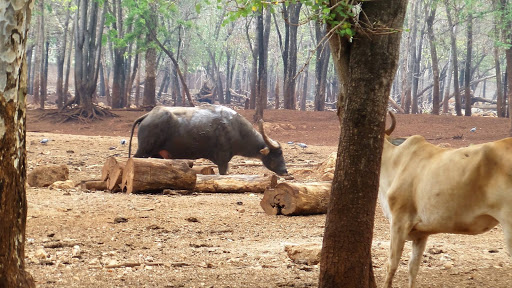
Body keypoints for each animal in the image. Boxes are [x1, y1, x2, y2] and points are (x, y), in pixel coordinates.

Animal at [128, 104, 288, 174]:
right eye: (278, 153)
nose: (285, 171)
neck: (236, 129)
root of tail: (148, 115)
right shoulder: (223, 160)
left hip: (157, 154)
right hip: (143, 150)